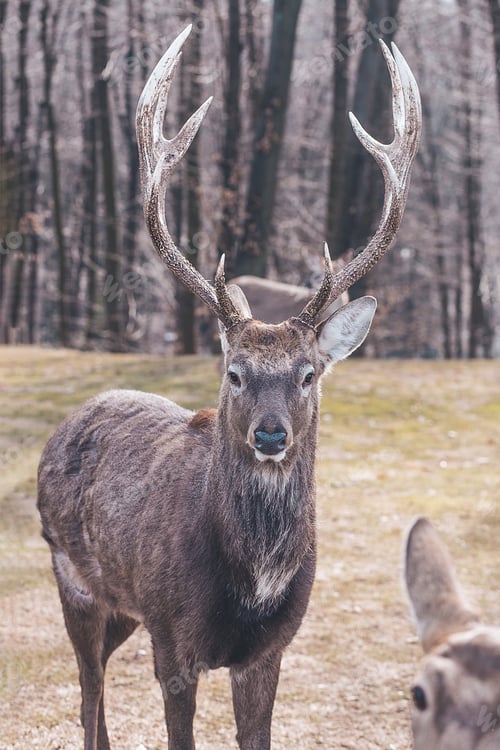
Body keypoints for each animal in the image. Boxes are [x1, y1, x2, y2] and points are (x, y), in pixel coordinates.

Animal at [37, 25, 421, 750]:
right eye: (234, 373)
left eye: (308, 373)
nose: (270, 434)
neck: (252, 584)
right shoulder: (171, 640)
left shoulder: (270, 650)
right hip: (74, 580)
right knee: (87, 695)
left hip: (121, 611)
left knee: (94, 690)